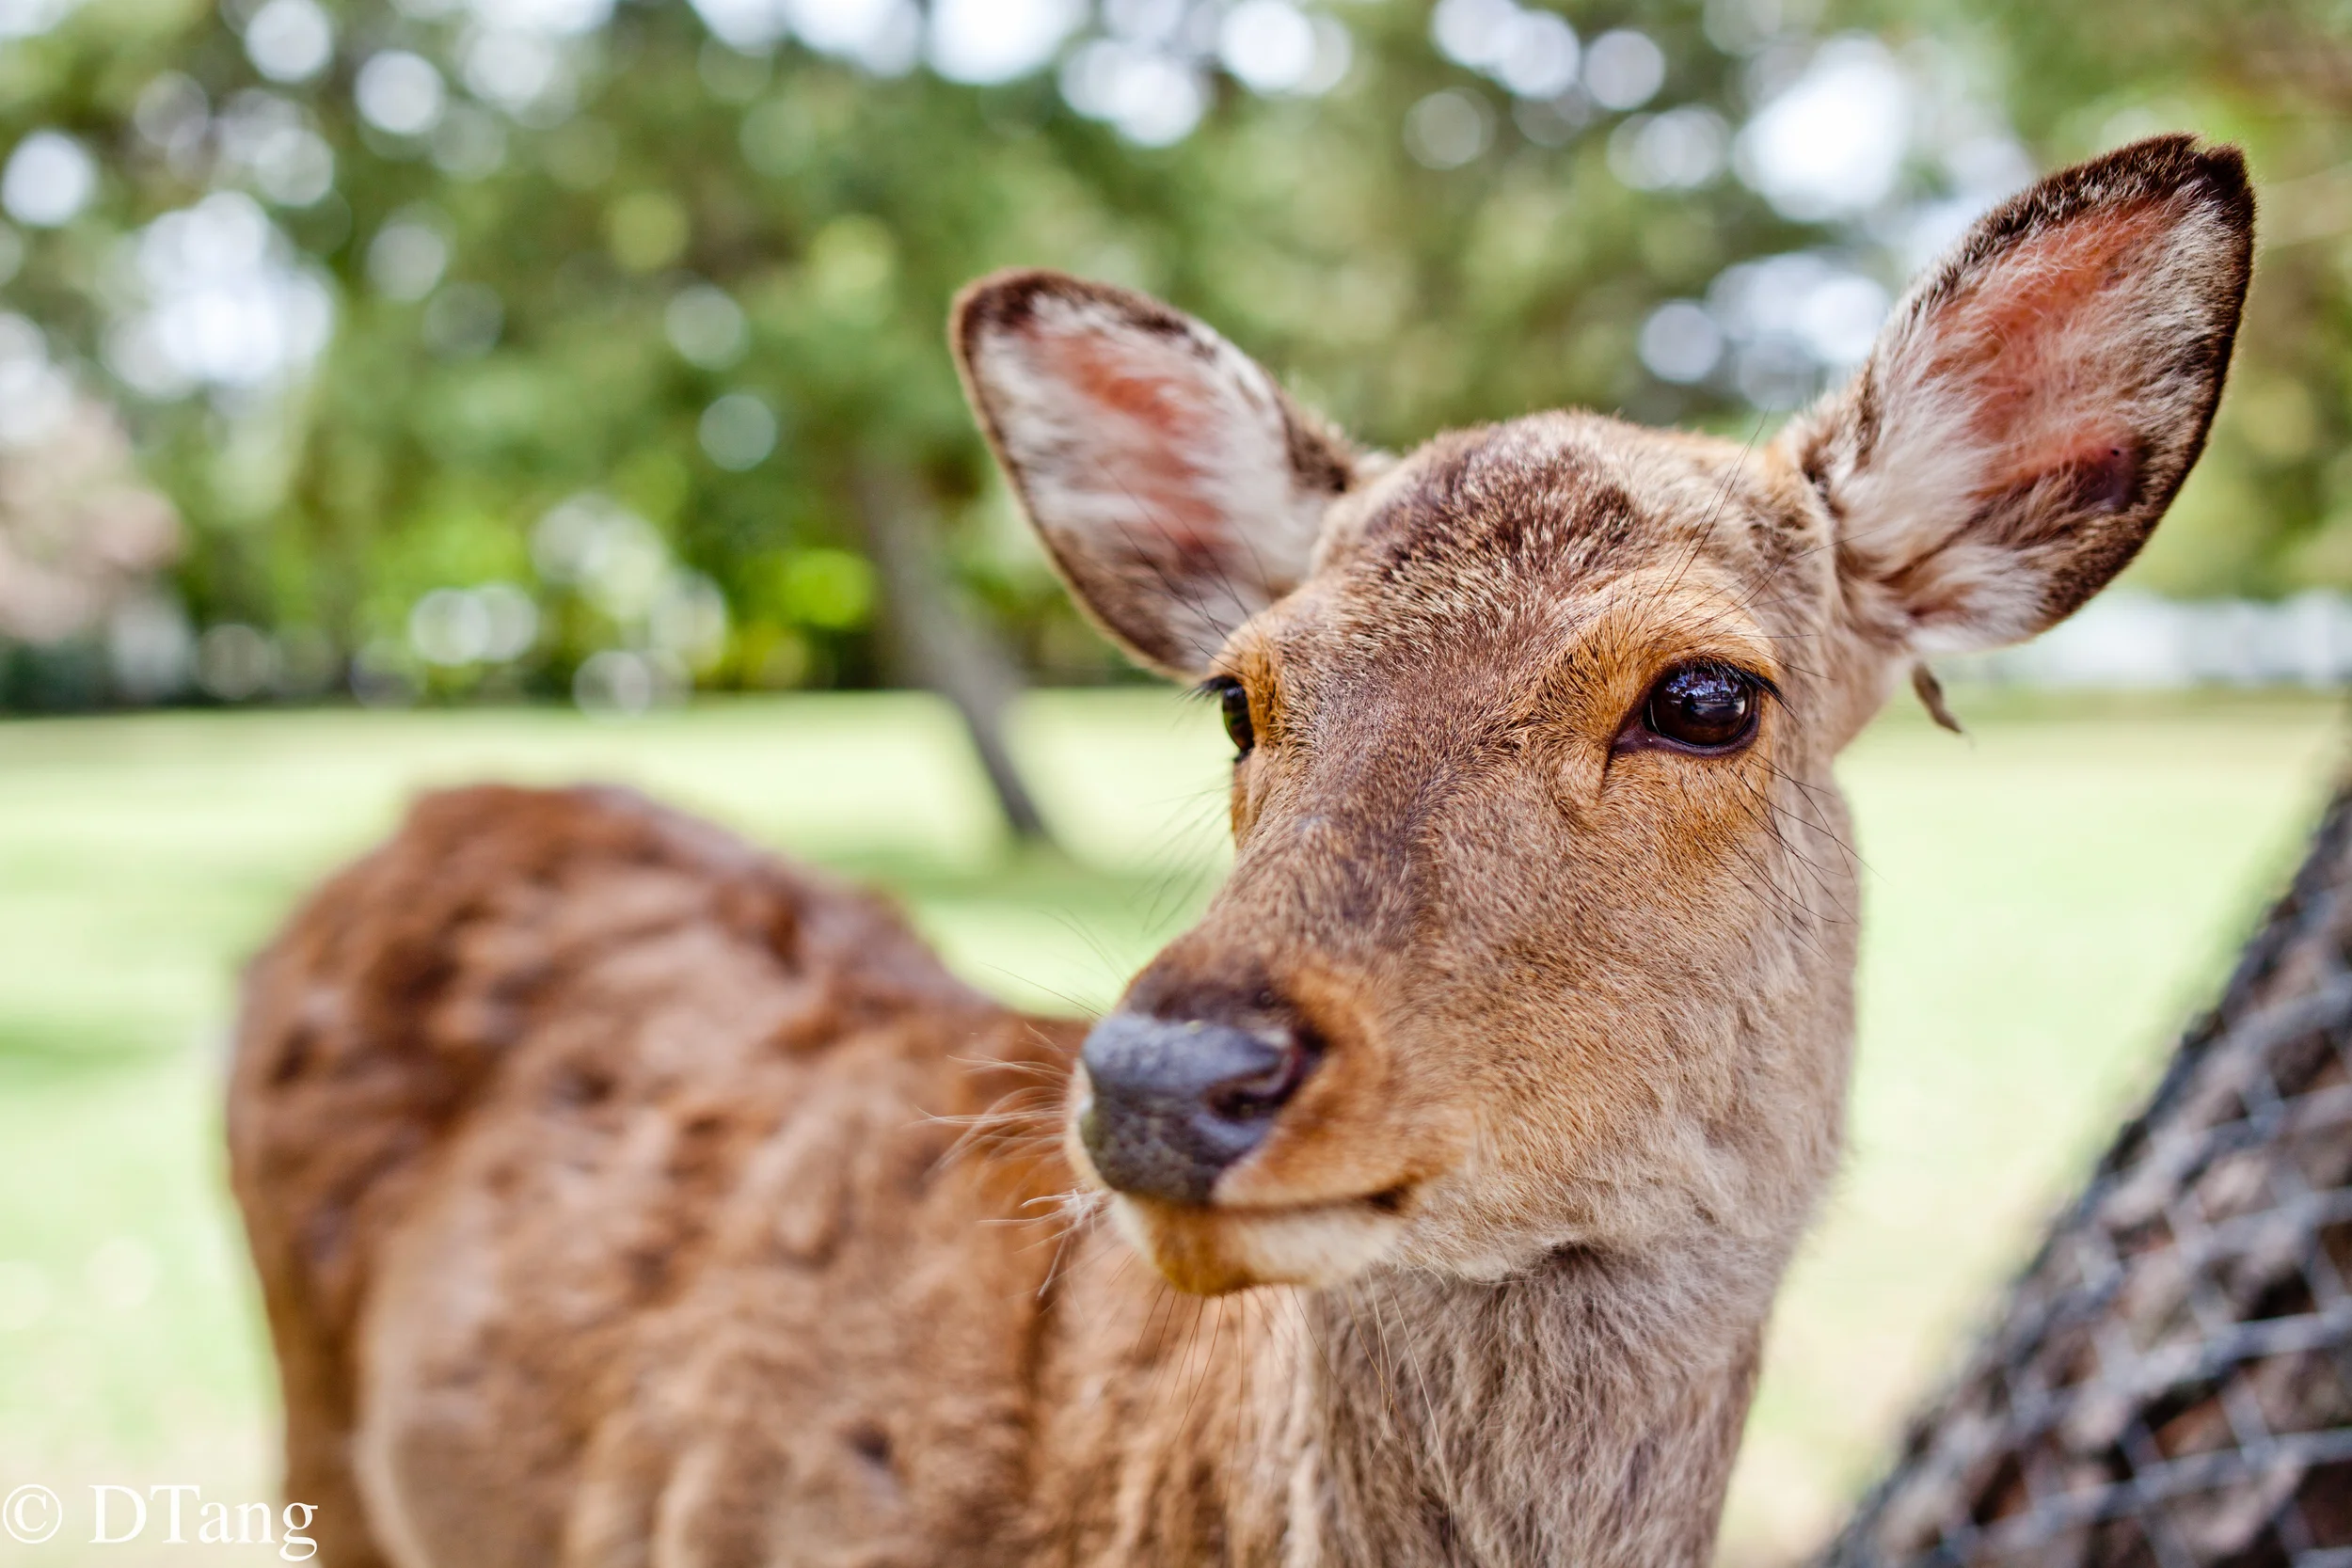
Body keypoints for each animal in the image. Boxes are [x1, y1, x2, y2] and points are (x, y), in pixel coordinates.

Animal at [227, 135, 2253, 1568]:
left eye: (1704, 693)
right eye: (1234, 695)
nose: (1165, 1074)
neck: (1120, 1481)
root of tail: (419, 815)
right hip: (312, 1444)